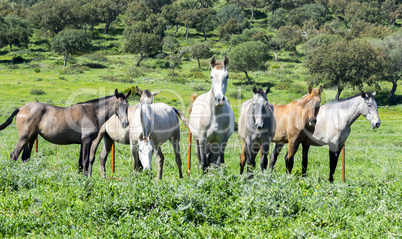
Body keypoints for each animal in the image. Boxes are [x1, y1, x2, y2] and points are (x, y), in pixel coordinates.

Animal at [0, 89, 130, 176]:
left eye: (127, 105)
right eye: (118, 104)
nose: (125, 123)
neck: (91, 112)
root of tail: (21, 108)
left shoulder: (82, 143)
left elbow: (81, 162)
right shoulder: (87, 141)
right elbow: (85, 161)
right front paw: (86, 178)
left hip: (31, 139)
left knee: (25, 157)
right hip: (24, 138)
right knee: (14, 155)